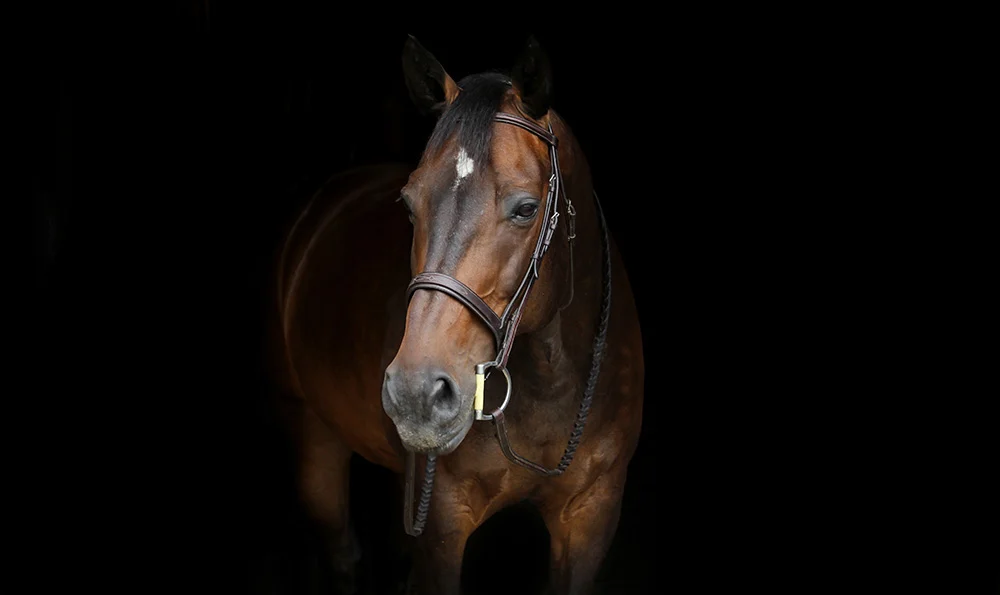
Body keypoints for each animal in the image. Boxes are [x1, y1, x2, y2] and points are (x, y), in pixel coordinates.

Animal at [270, 35, 645, 594]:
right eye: (409, 204)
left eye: (526, 208)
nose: (416, 393)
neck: (551, 382)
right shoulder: (443, 527)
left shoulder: (591, 516)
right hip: (312, 433)